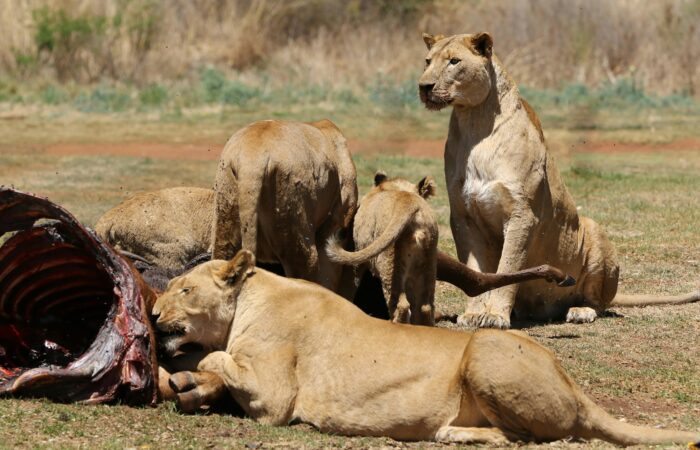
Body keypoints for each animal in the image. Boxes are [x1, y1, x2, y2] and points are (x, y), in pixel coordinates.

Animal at [151, 250, 699, 446]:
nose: (153, 315)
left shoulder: (275, 398)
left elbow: (217, 356)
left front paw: (191, 369)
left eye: (184, 289)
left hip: (486, 349)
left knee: (530, 439)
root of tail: (576, 388)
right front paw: (188, 380)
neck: (252, 296)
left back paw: (450, 433)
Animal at [418, 32, 700, 328]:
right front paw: (474, 313)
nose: (424, 86)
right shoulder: (463, 217)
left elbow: (508, 266)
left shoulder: (522, 214)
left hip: (594, 232)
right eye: (427, 61)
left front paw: (495, 315)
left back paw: (580, 311)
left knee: (598, 303)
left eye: (454, 61)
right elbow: (475, 269)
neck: (474, 123)